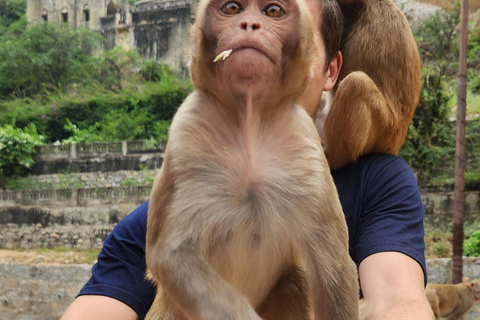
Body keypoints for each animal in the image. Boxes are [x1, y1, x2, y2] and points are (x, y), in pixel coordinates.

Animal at [144, 0, 358, 318]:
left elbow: (333, 266)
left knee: (295, 279)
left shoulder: (305, 146)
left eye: (273, 11)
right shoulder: (188, 132)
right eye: (232, 8)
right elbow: (171, 254)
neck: (249, 121)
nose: (249, 25)